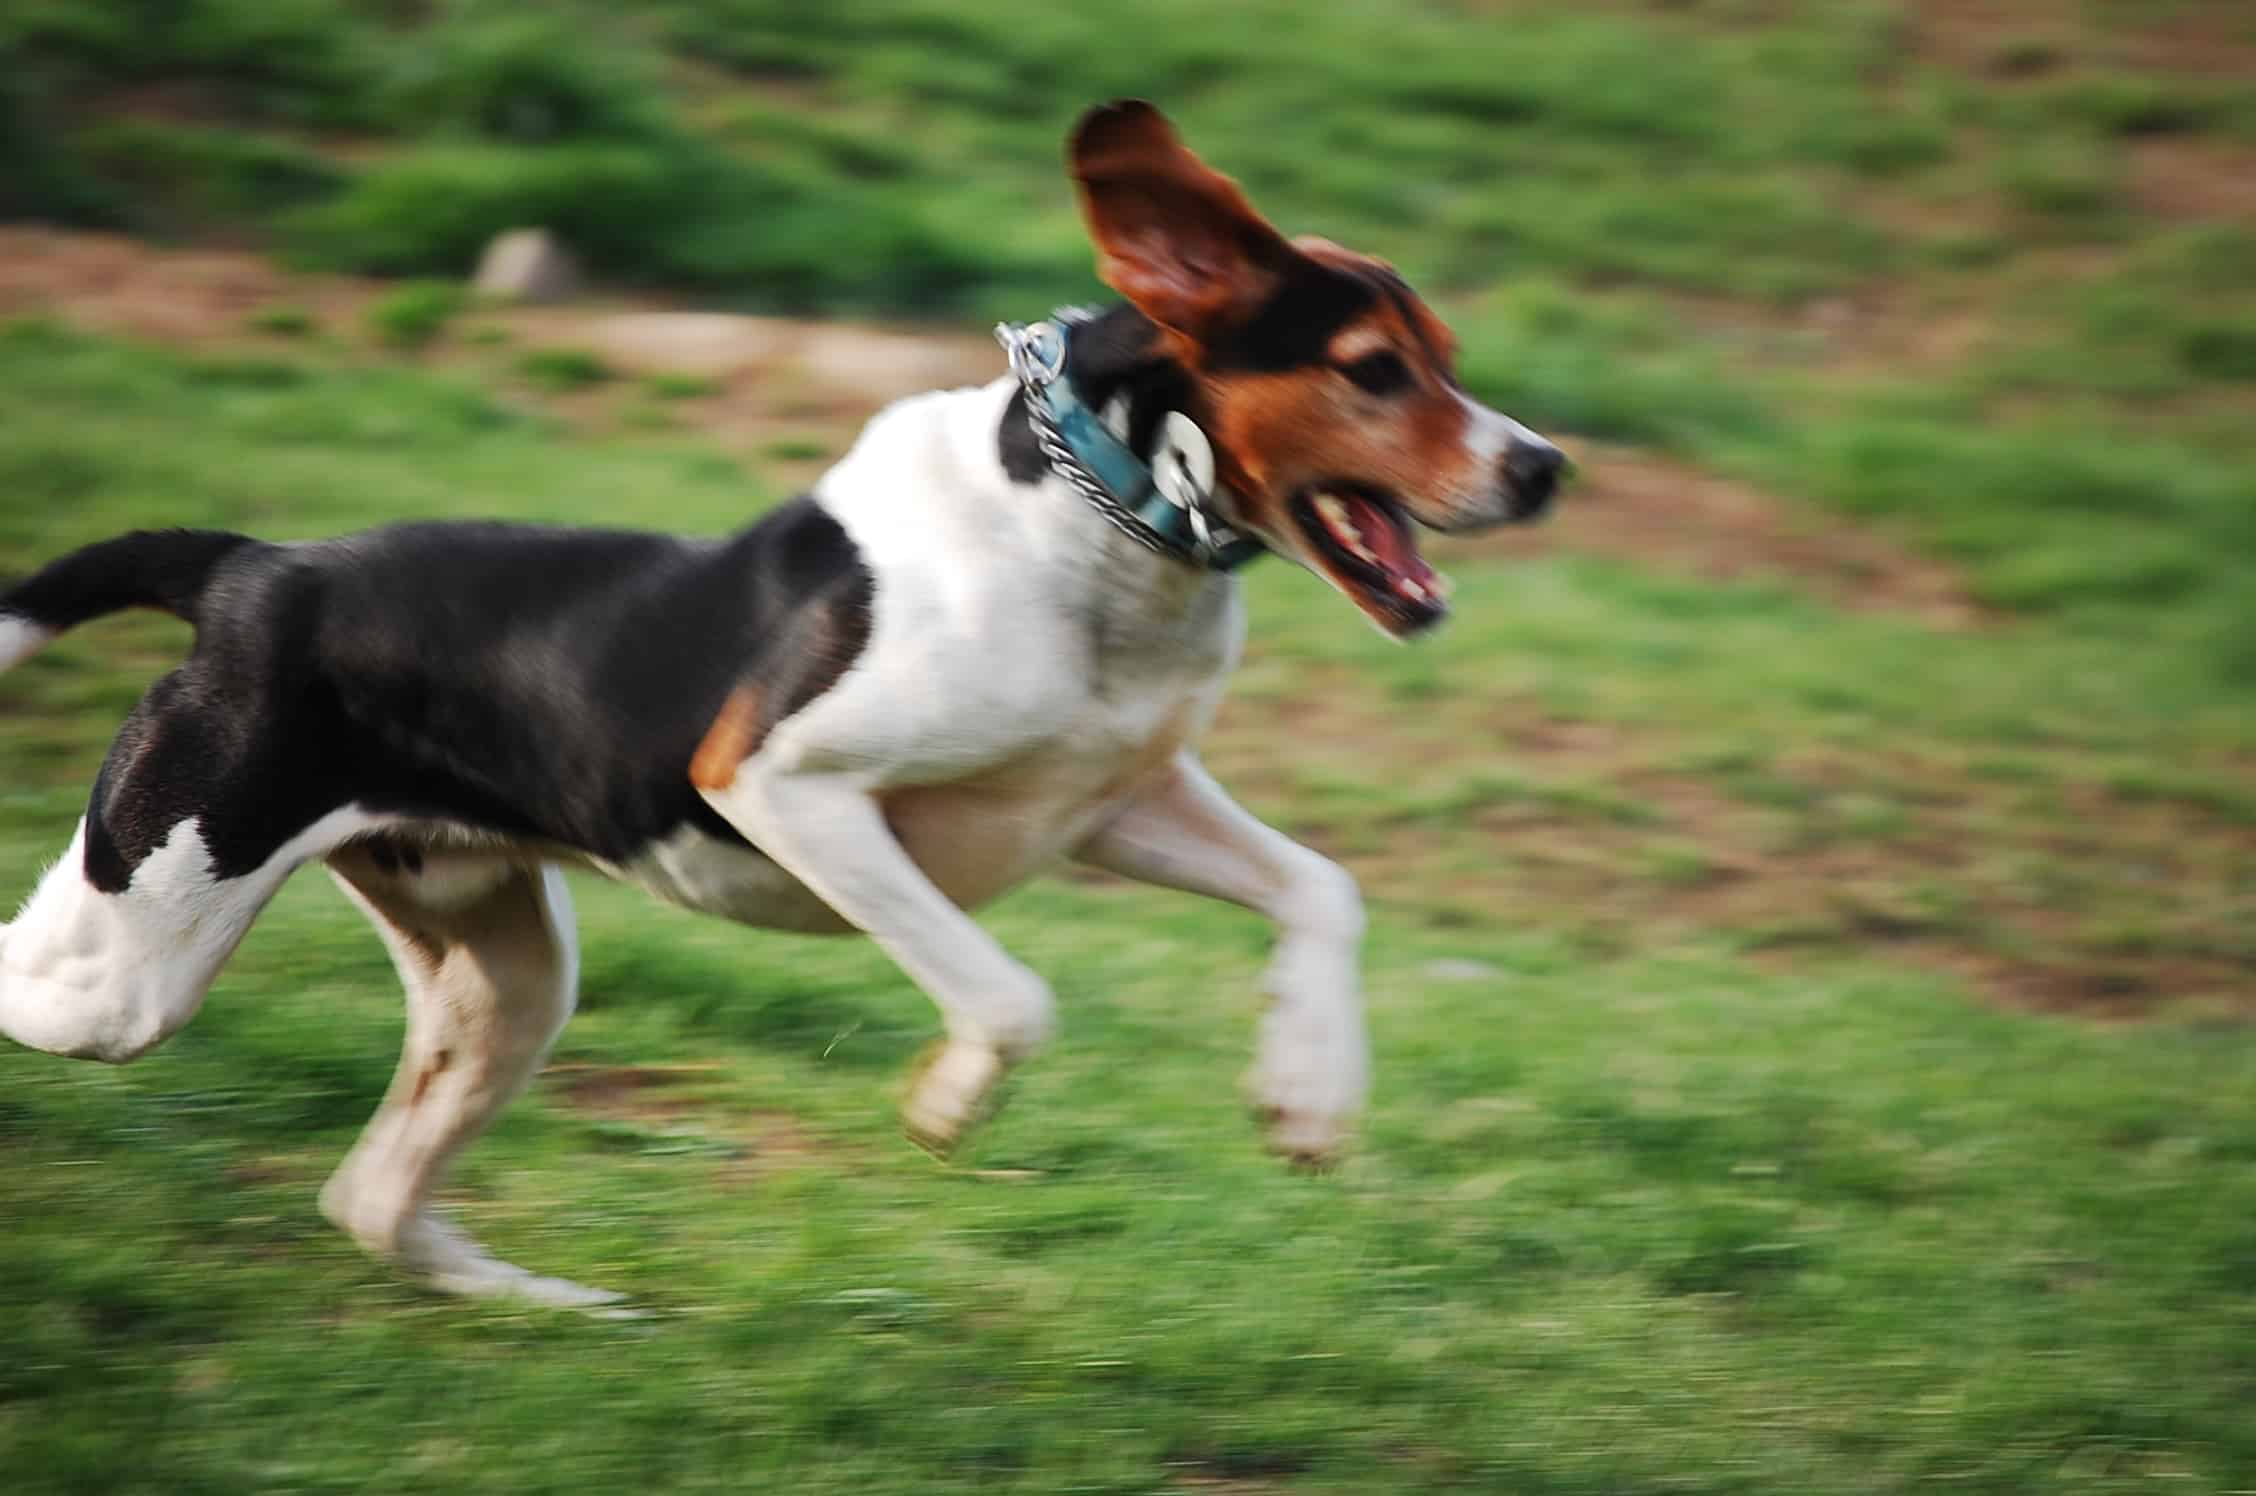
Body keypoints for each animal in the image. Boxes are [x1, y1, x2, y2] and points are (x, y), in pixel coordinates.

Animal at [0, 99, 1561, 1308]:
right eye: (1372, 369)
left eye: (1449, 356)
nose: (1545, 466)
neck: (1095, 525)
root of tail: (253, 568)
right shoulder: (784, 785)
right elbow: (1013, 997)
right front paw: (946, 1106)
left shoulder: (1115, 805)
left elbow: (1323, 890)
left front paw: (1310, 1093)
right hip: (133, 954)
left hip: (502, 978)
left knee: (372, 1198)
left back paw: (546, 1304)